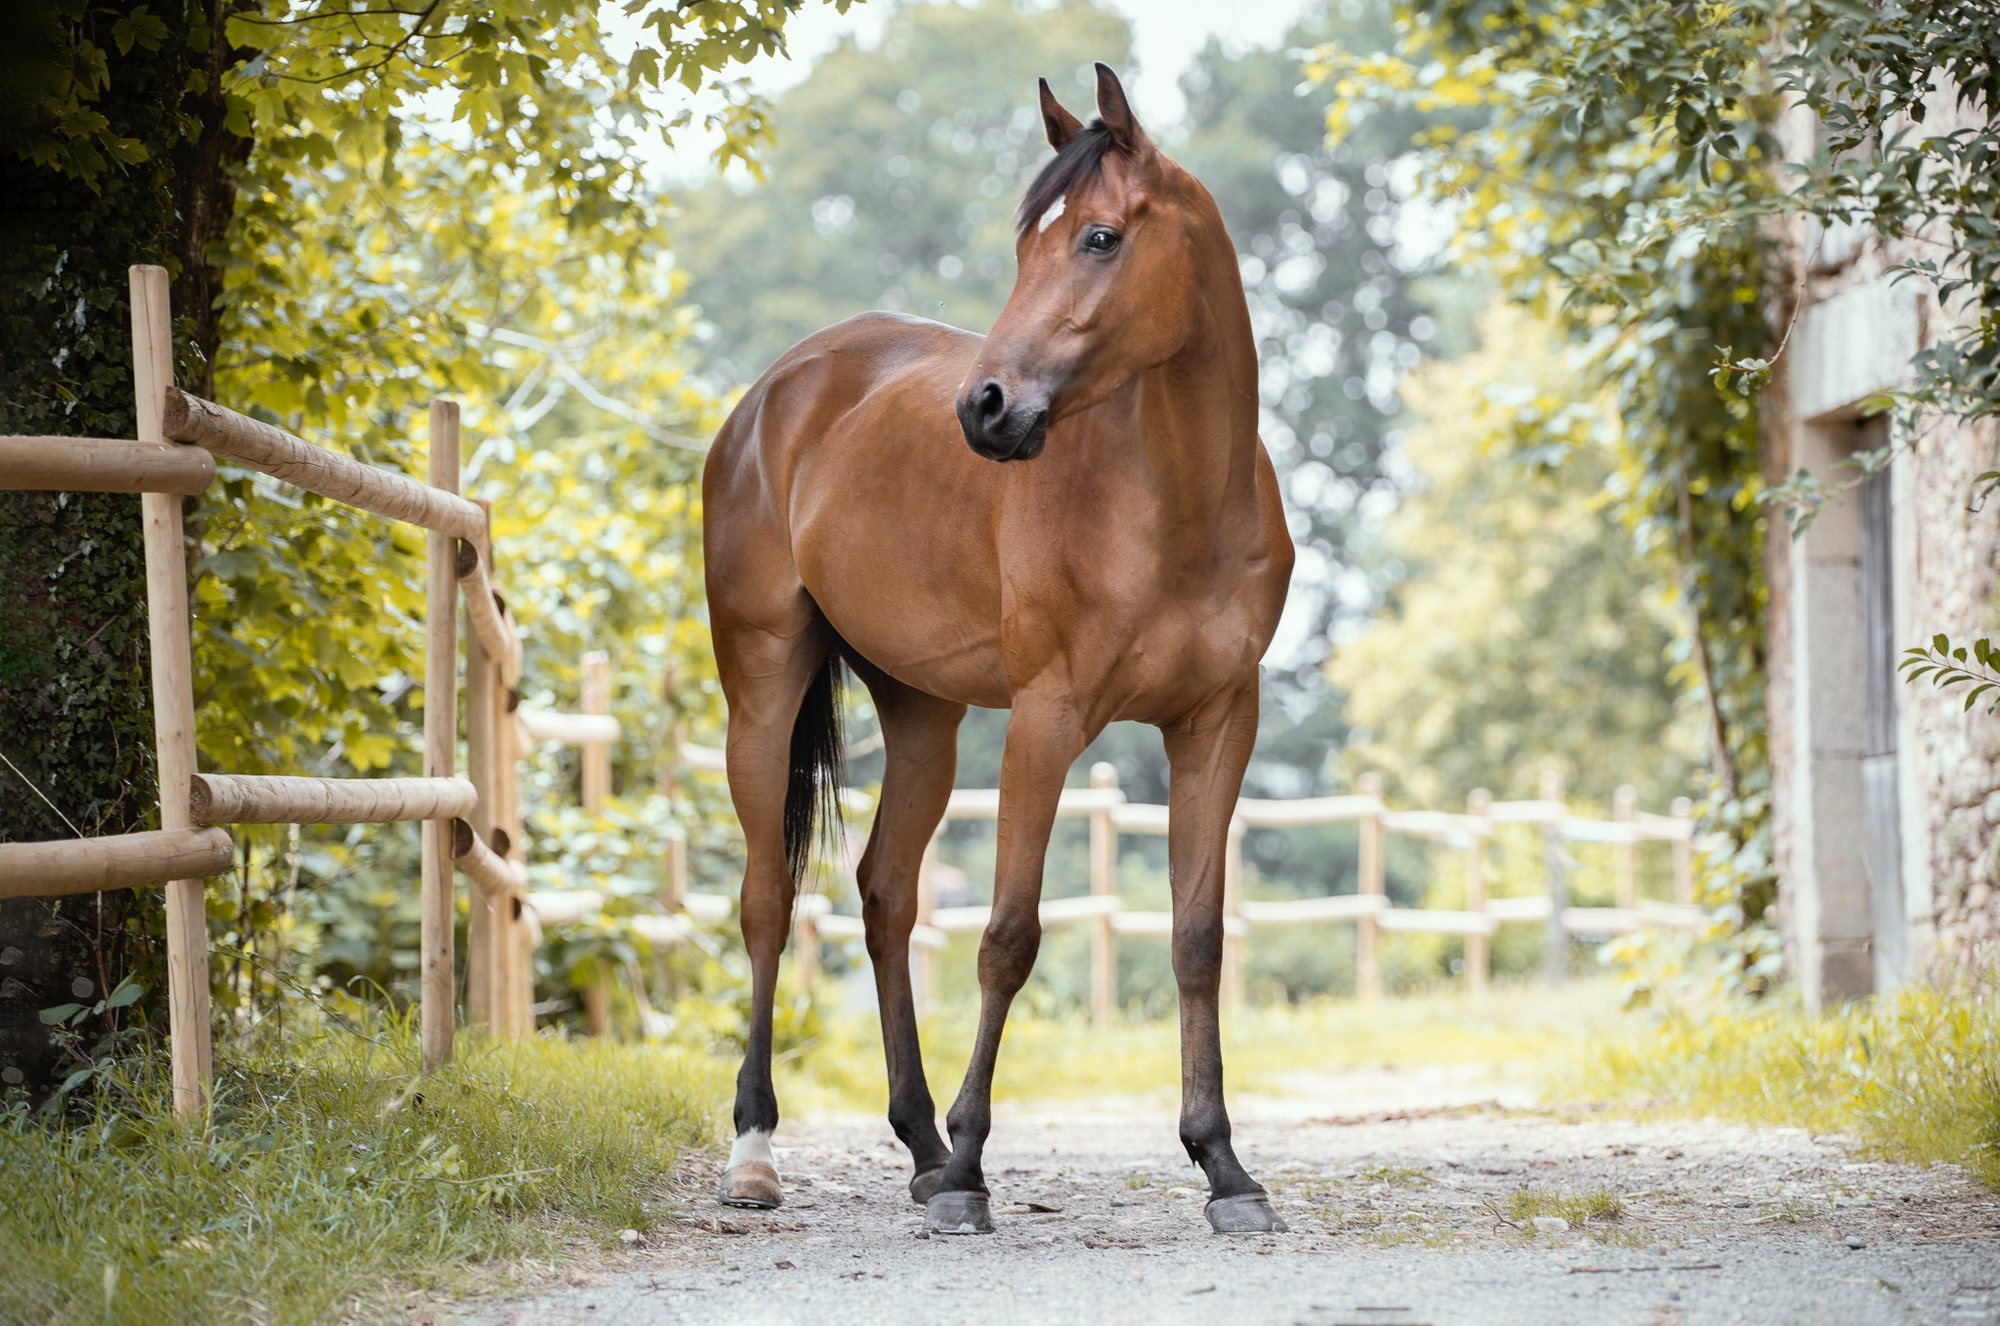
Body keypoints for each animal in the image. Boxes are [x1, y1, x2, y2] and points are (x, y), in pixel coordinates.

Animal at [700, 63, 1294, 1237]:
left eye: (1101, 237)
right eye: (1030, 246)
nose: (986, 408)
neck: (1176, 508)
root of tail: (774, 395)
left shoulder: (1217, 724)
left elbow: (1196, 938)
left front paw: (1222, 1166)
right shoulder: (1048, 718)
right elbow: (1010, 935)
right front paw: (976, 1165)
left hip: (922, 714)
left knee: (885, 893)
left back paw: (920, 1145)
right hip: (762, 688)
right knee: (766, 899)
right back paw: (760, 1152)